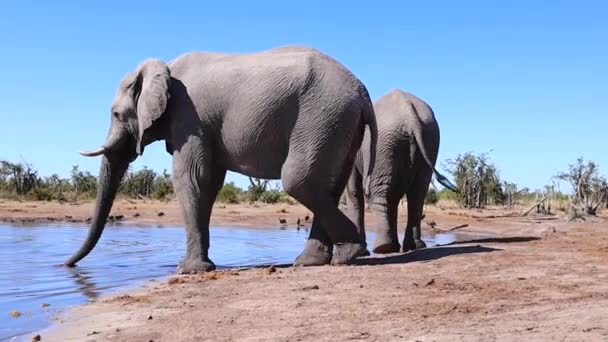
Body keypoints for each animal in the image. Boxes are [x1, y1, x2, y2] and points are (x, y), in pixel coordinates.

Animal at [64, 45, 376, 272]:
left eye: (116, 115)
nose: (66, 265)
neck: (164, 69)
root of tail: (362, 91)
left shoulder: (189, 116)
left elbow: (191, 177)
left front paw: (188, 271)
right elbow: (209, 181)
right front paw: (201, 267)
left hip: (321, 117)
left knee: (298, 181)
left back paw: (350, 253)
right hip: (338, 123)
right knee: (326, 186)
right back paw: (316, 261)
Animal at [346, 88, 456, 254]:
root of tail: (410, 114)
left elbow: (353, 191)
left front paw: (361, 252)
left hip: (383, 144)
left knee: (381, 192)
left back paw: (382, 248)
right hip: (428, 138)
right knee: (417, 193)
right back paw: (413, 246)